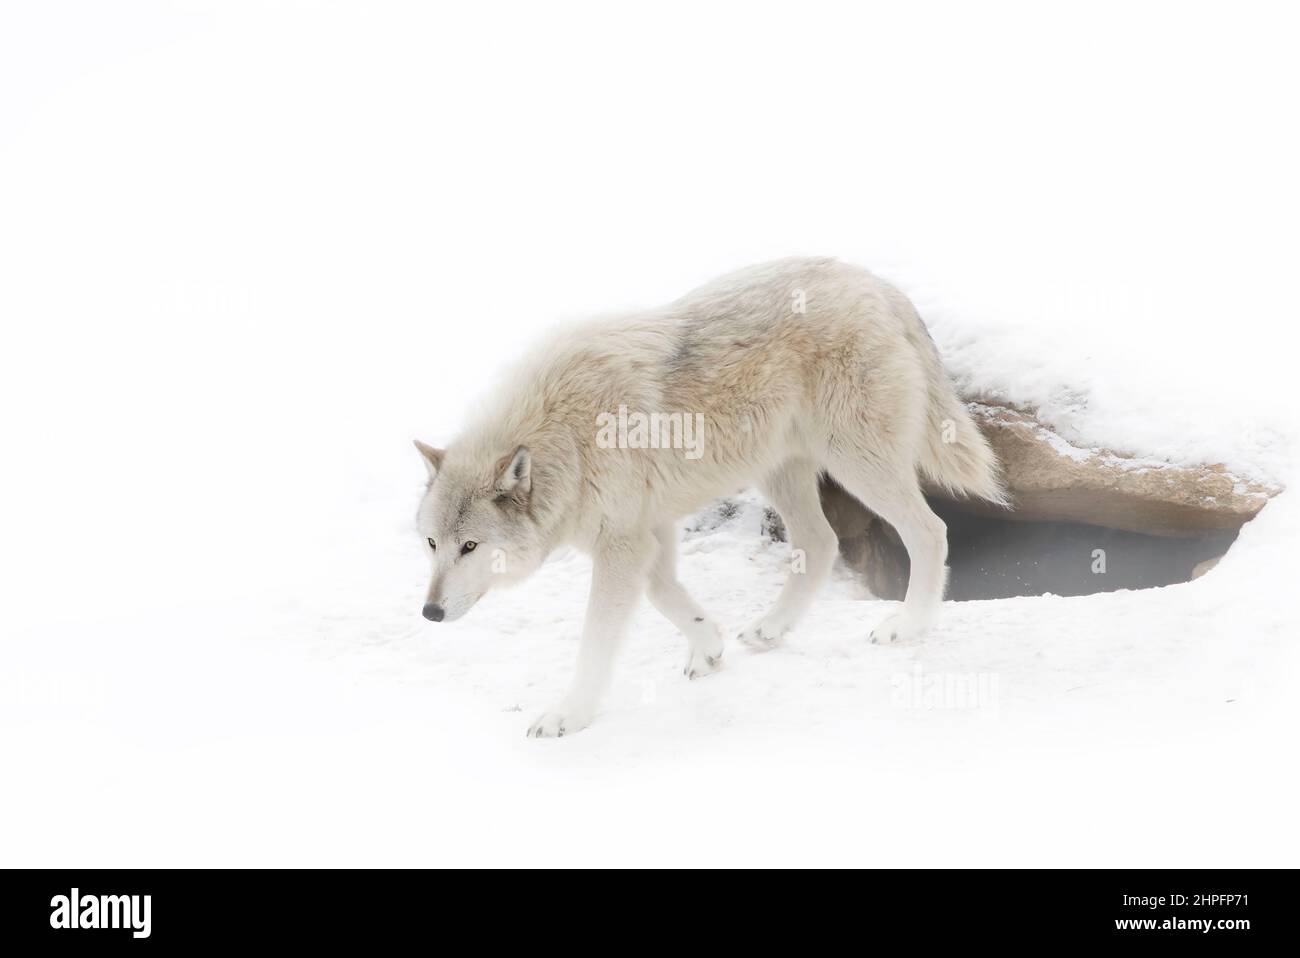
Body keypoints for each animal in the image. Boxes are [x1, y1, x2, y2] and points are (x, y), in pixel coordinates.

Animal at [413, 258, 1005, 737]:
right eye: (431, 544)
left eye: (469, 547)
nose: (429, 612)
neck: (564, 435)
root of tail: (877, 282)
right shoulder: (647, 533)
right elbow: (666, 595)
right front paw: (709, 646)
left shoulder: (623, 545)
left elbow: (597, 642)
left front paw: (569, 716)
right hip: (781, 473)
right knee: (821, 544)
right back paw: (771, 629)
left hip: (856, 463)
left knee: (930, 530)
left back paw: (908, 626)